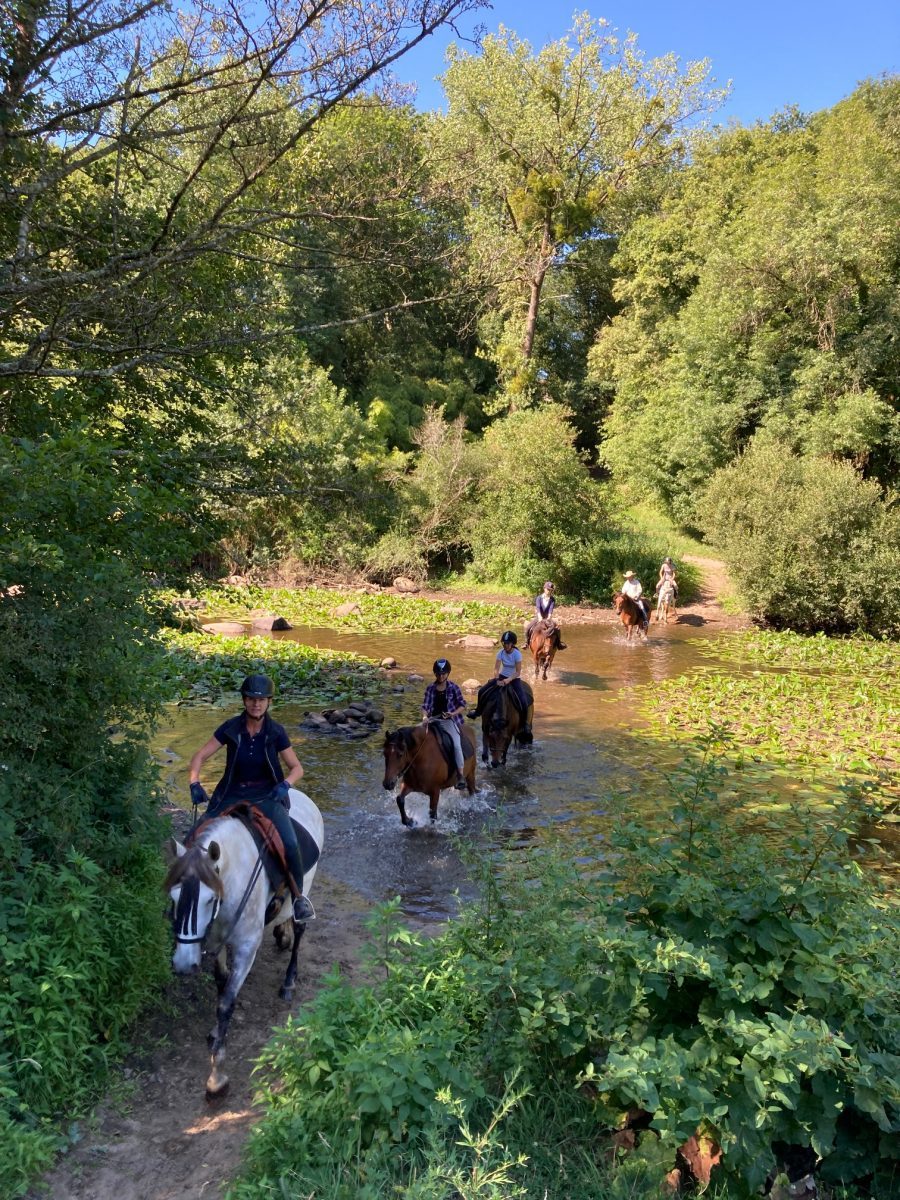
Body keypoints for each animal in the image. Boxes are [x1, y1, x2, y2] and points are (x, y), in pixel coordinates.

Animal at [164, 787, 324, 1099]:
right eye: (174, 897)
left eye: (209, 899)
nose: (184, 965)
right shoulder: (217, 938)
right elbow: (220, 982)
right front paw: (216, 1033)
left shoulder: (247, 947)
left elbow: (226, 1002)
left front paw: (217, 1076)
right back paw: (282, 935)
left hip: (306, 889)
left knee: (300, 927)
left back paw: (289, 980)